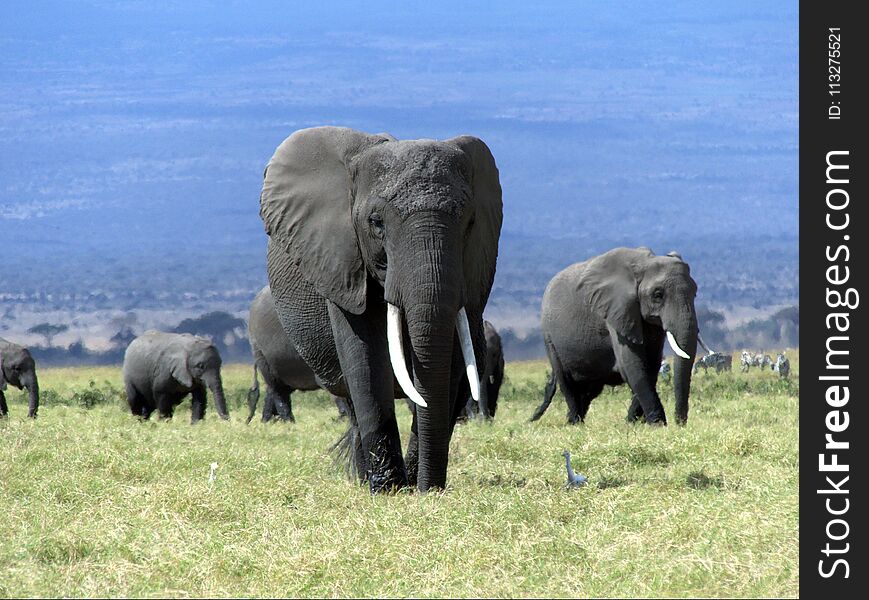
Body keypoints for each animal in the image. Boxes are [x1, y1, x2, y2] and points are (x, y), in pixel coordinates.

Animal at [260, 125, 502, 492]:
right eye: (376, 223)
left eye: (470, 223)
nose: (427, 488)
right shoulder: (341, 261)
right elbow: (364, 354)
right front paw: (389, 489)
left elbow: (454, 358)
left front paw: (419, 485)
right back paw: (366, 478)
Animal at [528, 246, 700, 424]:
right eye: (657, 295)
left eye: (695, 292)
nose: (679, 423)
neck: (643, 264)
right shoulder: (615, 310)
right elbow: (632, 365)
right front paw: (657, 424)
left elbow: (651, 365)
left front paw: (633, 422)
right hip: (549, 337)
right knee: (567, 383)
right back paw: (575, 423)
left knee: (589, 390)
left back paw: (572, 422)